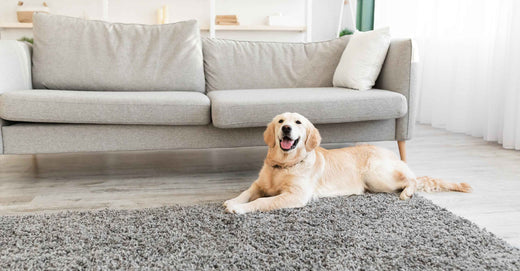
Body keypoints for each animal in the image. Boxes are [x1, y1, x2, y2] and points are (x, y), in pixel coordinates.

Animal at [223, 112, 472, 215]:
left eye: (298, 122)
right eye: (281, 121)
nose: (286, 128)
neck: (283, 165)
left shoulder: (295, 195)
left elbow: (262, 202)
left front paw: (239, 208)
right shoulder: (259, 184)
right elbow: (247, 192)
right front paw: (232, 201)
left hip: (376, 175)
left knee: (412, 180)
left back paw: (406, 193)